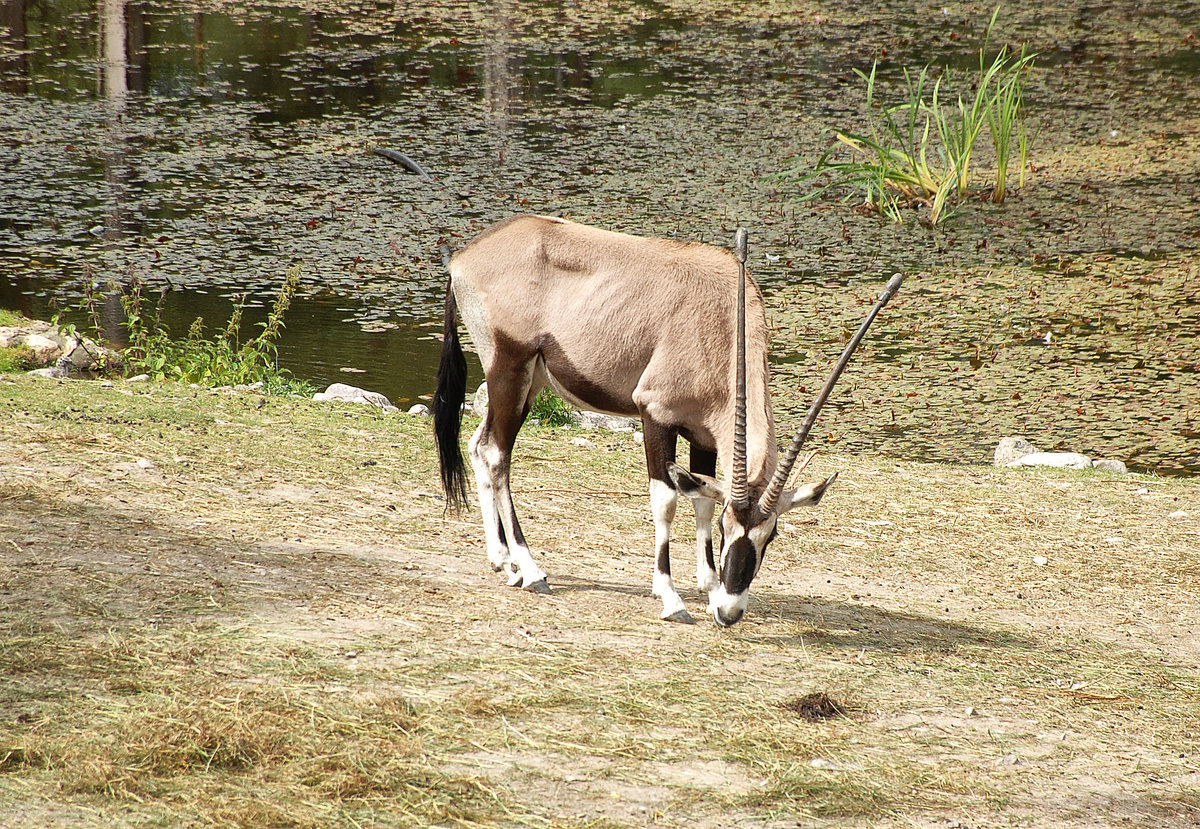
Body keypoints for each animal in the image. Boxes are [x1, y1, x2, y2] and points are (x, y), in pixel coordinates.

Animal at [434, 215, 902, 628]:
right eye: (728, 528)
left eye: (770, 536)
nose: (731, 613)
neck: (722, 318)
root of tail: (464, 257)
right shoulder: (655, 414)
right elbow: (667, 501)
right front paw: (672, 598)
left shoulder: (705, 435)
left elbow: (701, 497)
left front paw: (711, 589)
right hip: (510, 368)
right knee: (498, 454)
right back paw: (531, 570)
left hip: (530, 382)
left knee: (480, 444)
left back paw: (504, 561)